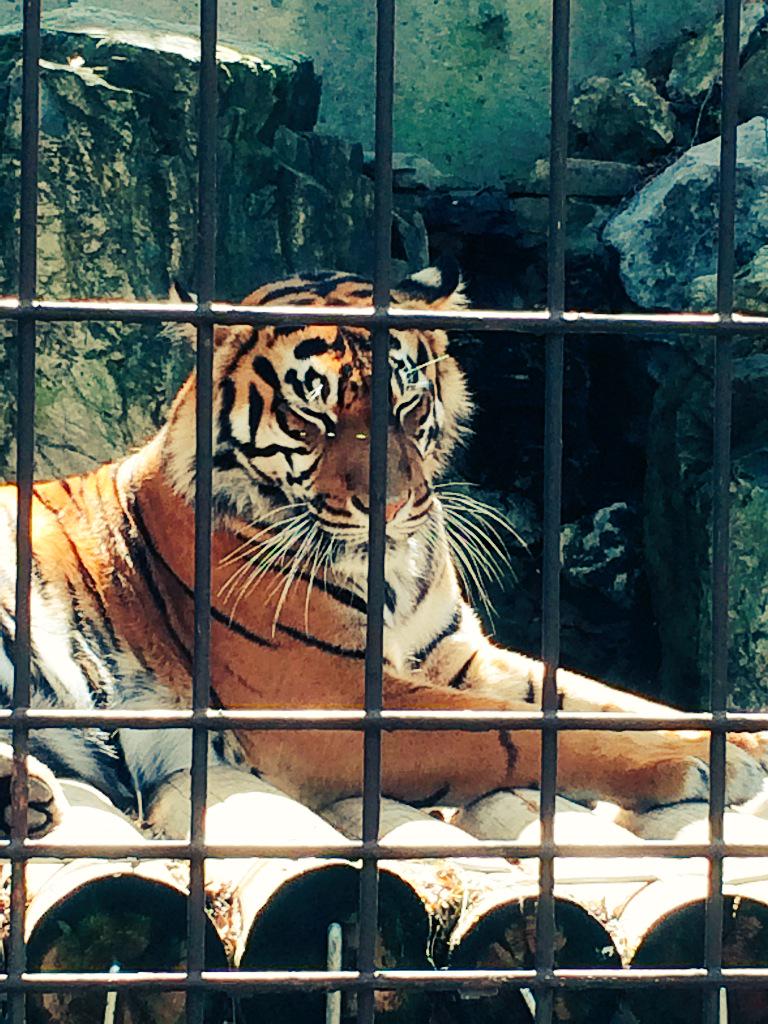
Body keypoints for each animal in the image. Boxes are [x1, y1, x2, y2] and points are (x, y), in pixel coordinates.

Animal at [0, 264, 765, 839]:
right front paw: (704, 759)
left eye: (408, 406)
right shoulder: (326, 698)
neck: (396, 573)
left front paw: (742, 741)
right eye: (311, 416)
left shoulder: (456, 656)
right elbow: (517, 731)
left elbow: (590, 696)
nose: (391, 507)